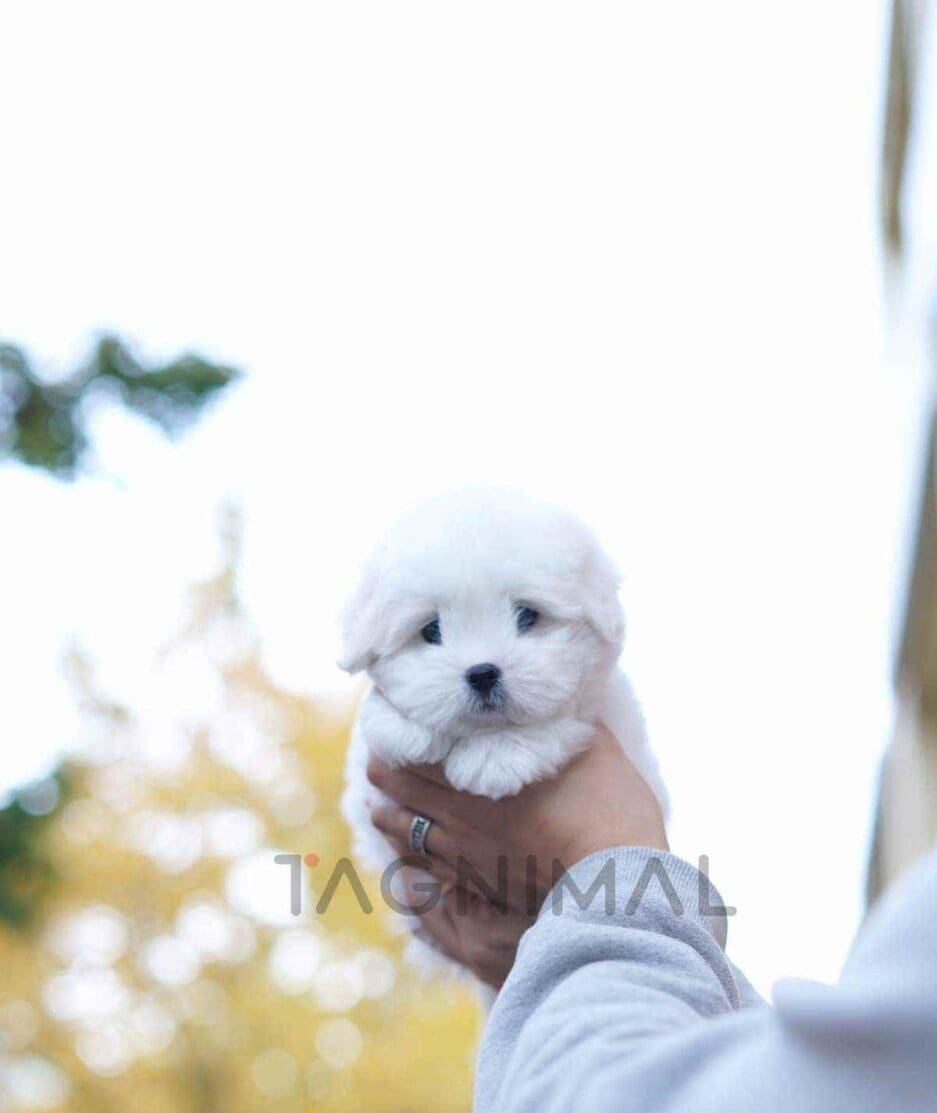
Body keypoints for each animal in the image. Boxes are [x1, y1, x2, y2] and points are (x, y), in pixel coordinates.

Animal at [340, 491, 667, 961]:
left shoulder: (598, 710)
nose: (482, 673)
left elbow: (563, 718)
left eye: (527, 615)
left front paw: (496, 757)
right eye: (431, 629)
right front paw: (404, 729)